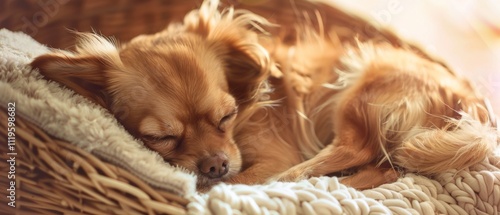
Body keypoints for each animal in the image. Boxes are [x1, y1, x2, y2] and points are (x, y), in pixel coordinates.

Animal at [31, 0, 496, 190]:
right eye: (161, 137)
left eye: (226, 116)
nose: (216, 165)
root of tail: (474, 110)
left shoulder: (273, 154)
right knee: (385, 169)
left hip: (359, 83)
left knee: (358, 151)